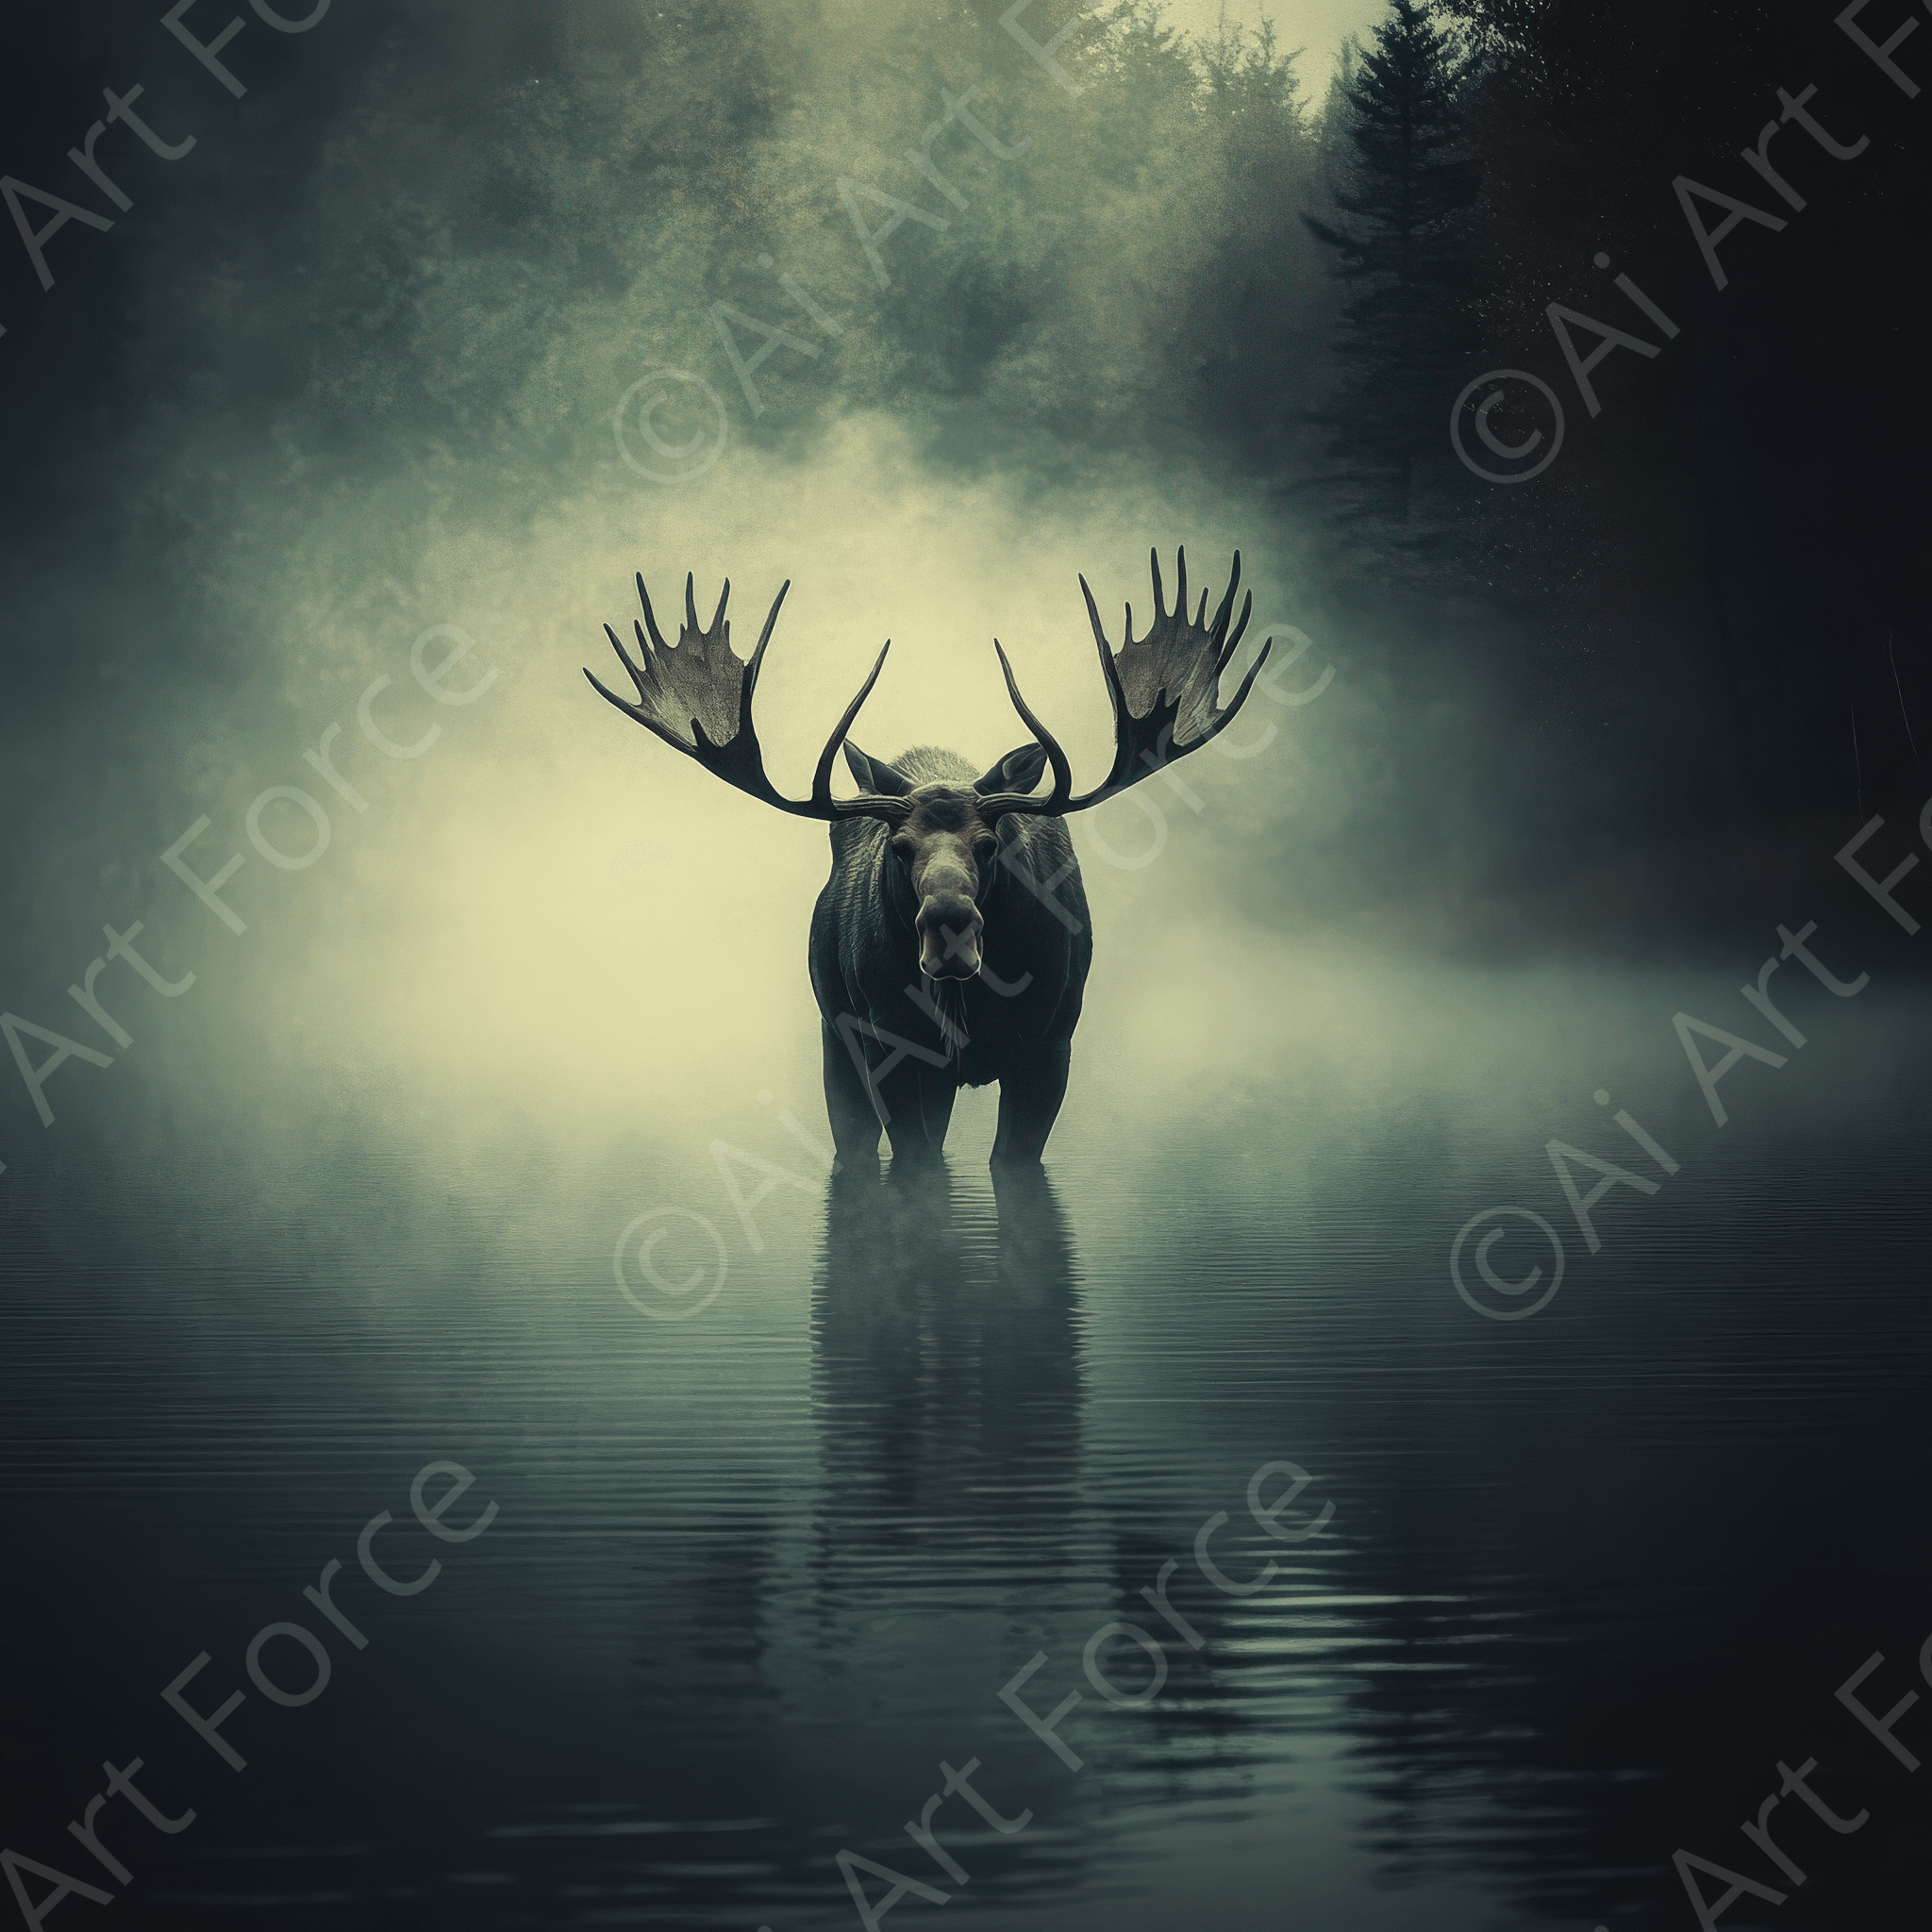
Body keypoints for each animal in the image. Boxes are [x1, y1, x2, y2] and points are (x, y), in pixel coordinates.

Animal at [585, 548, 1274, 1176]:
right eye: (899, 847)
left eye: (991, 844)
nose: (949, 926)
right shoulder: (885, 1039)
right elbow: (912, 1162)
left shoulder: (1053, 1043)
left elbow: (1011, 1165)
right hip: (837, 1035)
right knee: (856, 1143)